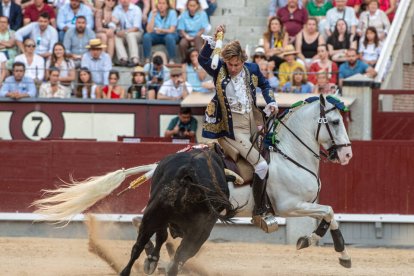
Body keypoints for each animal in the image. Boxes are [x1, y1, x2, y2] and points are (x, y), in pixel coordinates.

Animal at [32, 94, 352, 268]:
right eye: (336, 122)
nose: (347, 154)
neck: (289, 154)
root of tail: (161, 164)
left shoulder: (303, 204)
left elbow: (330, 215)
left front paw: (320, 244)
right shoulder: (290, 205)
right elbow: (330, 212)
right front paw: (331, 249)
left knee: (143, 223)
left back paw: (155, 256)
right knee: (148, 226)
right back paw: (156, 257)